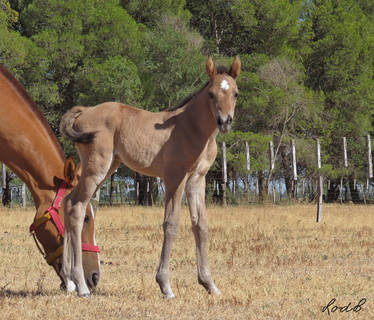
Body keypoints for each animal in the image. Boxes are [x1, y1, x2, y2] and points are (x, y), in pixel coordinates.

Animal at [60, 57, 243, 298]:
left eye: (236, 93)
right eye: (211, 94)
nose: (225, 121)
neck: (191, 128)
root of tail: (85, 111)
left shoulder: (197, 179)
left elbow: (200, 225)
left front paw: (209, 284)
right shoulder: (175, 177)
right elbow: (171, 224)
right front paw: (165, 285)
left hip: (106, 168)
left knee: (68, 200)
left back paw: (67, 278)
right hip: (96, 167)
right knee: (78, 207)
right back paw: (81, 284)